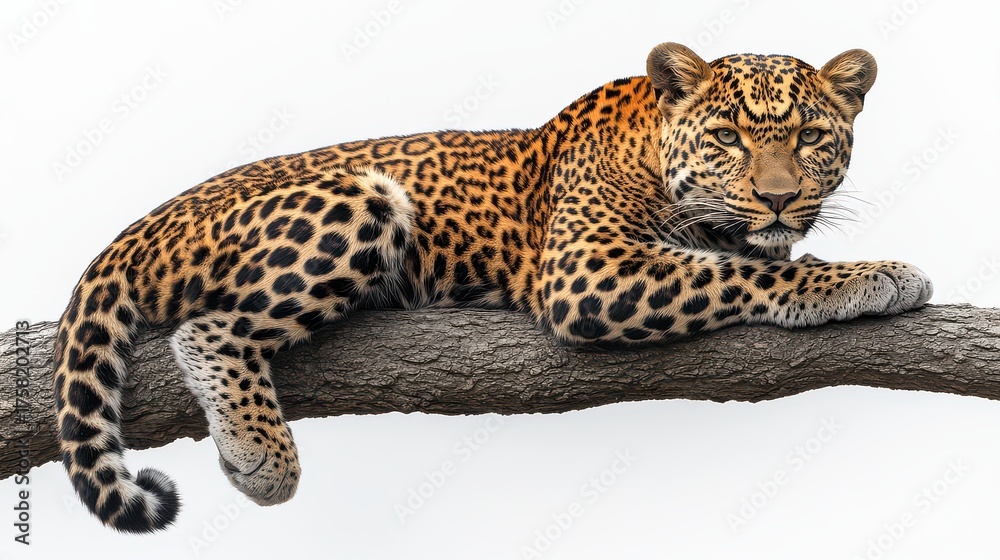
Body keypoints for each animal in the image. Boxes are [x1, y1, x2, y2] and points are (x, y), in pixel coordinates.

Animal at [52, 42, 932, 532]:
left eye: (811, 137)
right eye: (727, 136)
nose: (780, 198)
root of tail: (144, 222)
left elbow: (752, 257)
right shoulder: (588, 268)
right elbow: (744, 269)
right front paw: (875, 276)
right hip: (361, 196)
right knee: (207, 330)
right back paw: (264, 455)